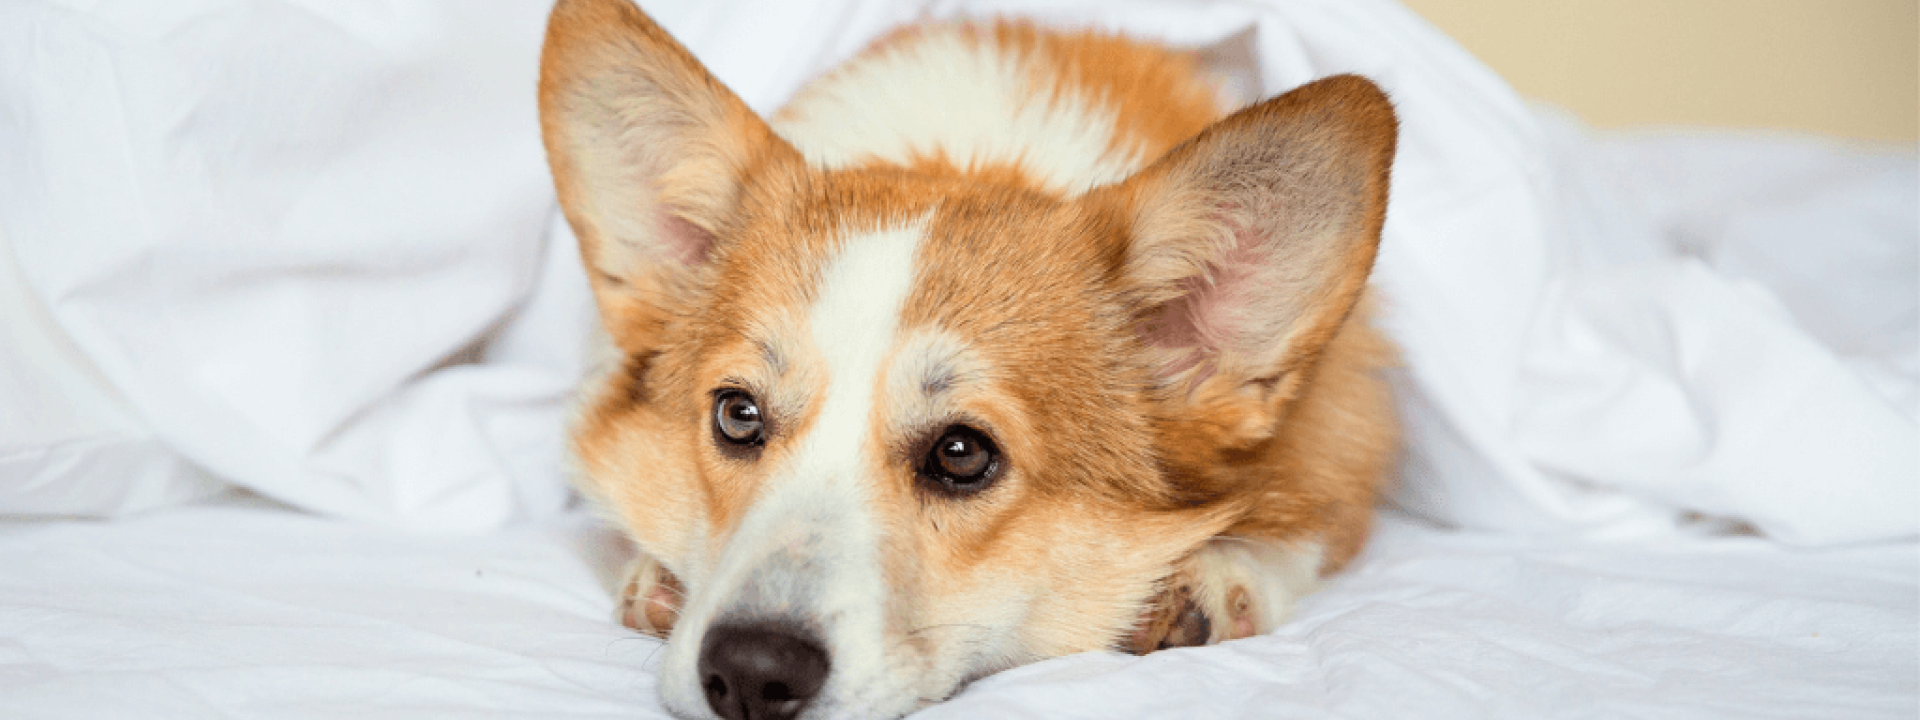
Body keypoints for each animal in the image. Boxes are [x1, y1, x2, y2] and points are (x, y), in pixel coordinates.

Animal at [541, 2, 1397, 718]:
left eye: (961, 453)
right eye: (737, 414)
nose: (750, 675)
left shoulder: (1338, 433)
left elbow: (1301, 521)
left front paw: (1217, 575)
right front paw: (657, 576)